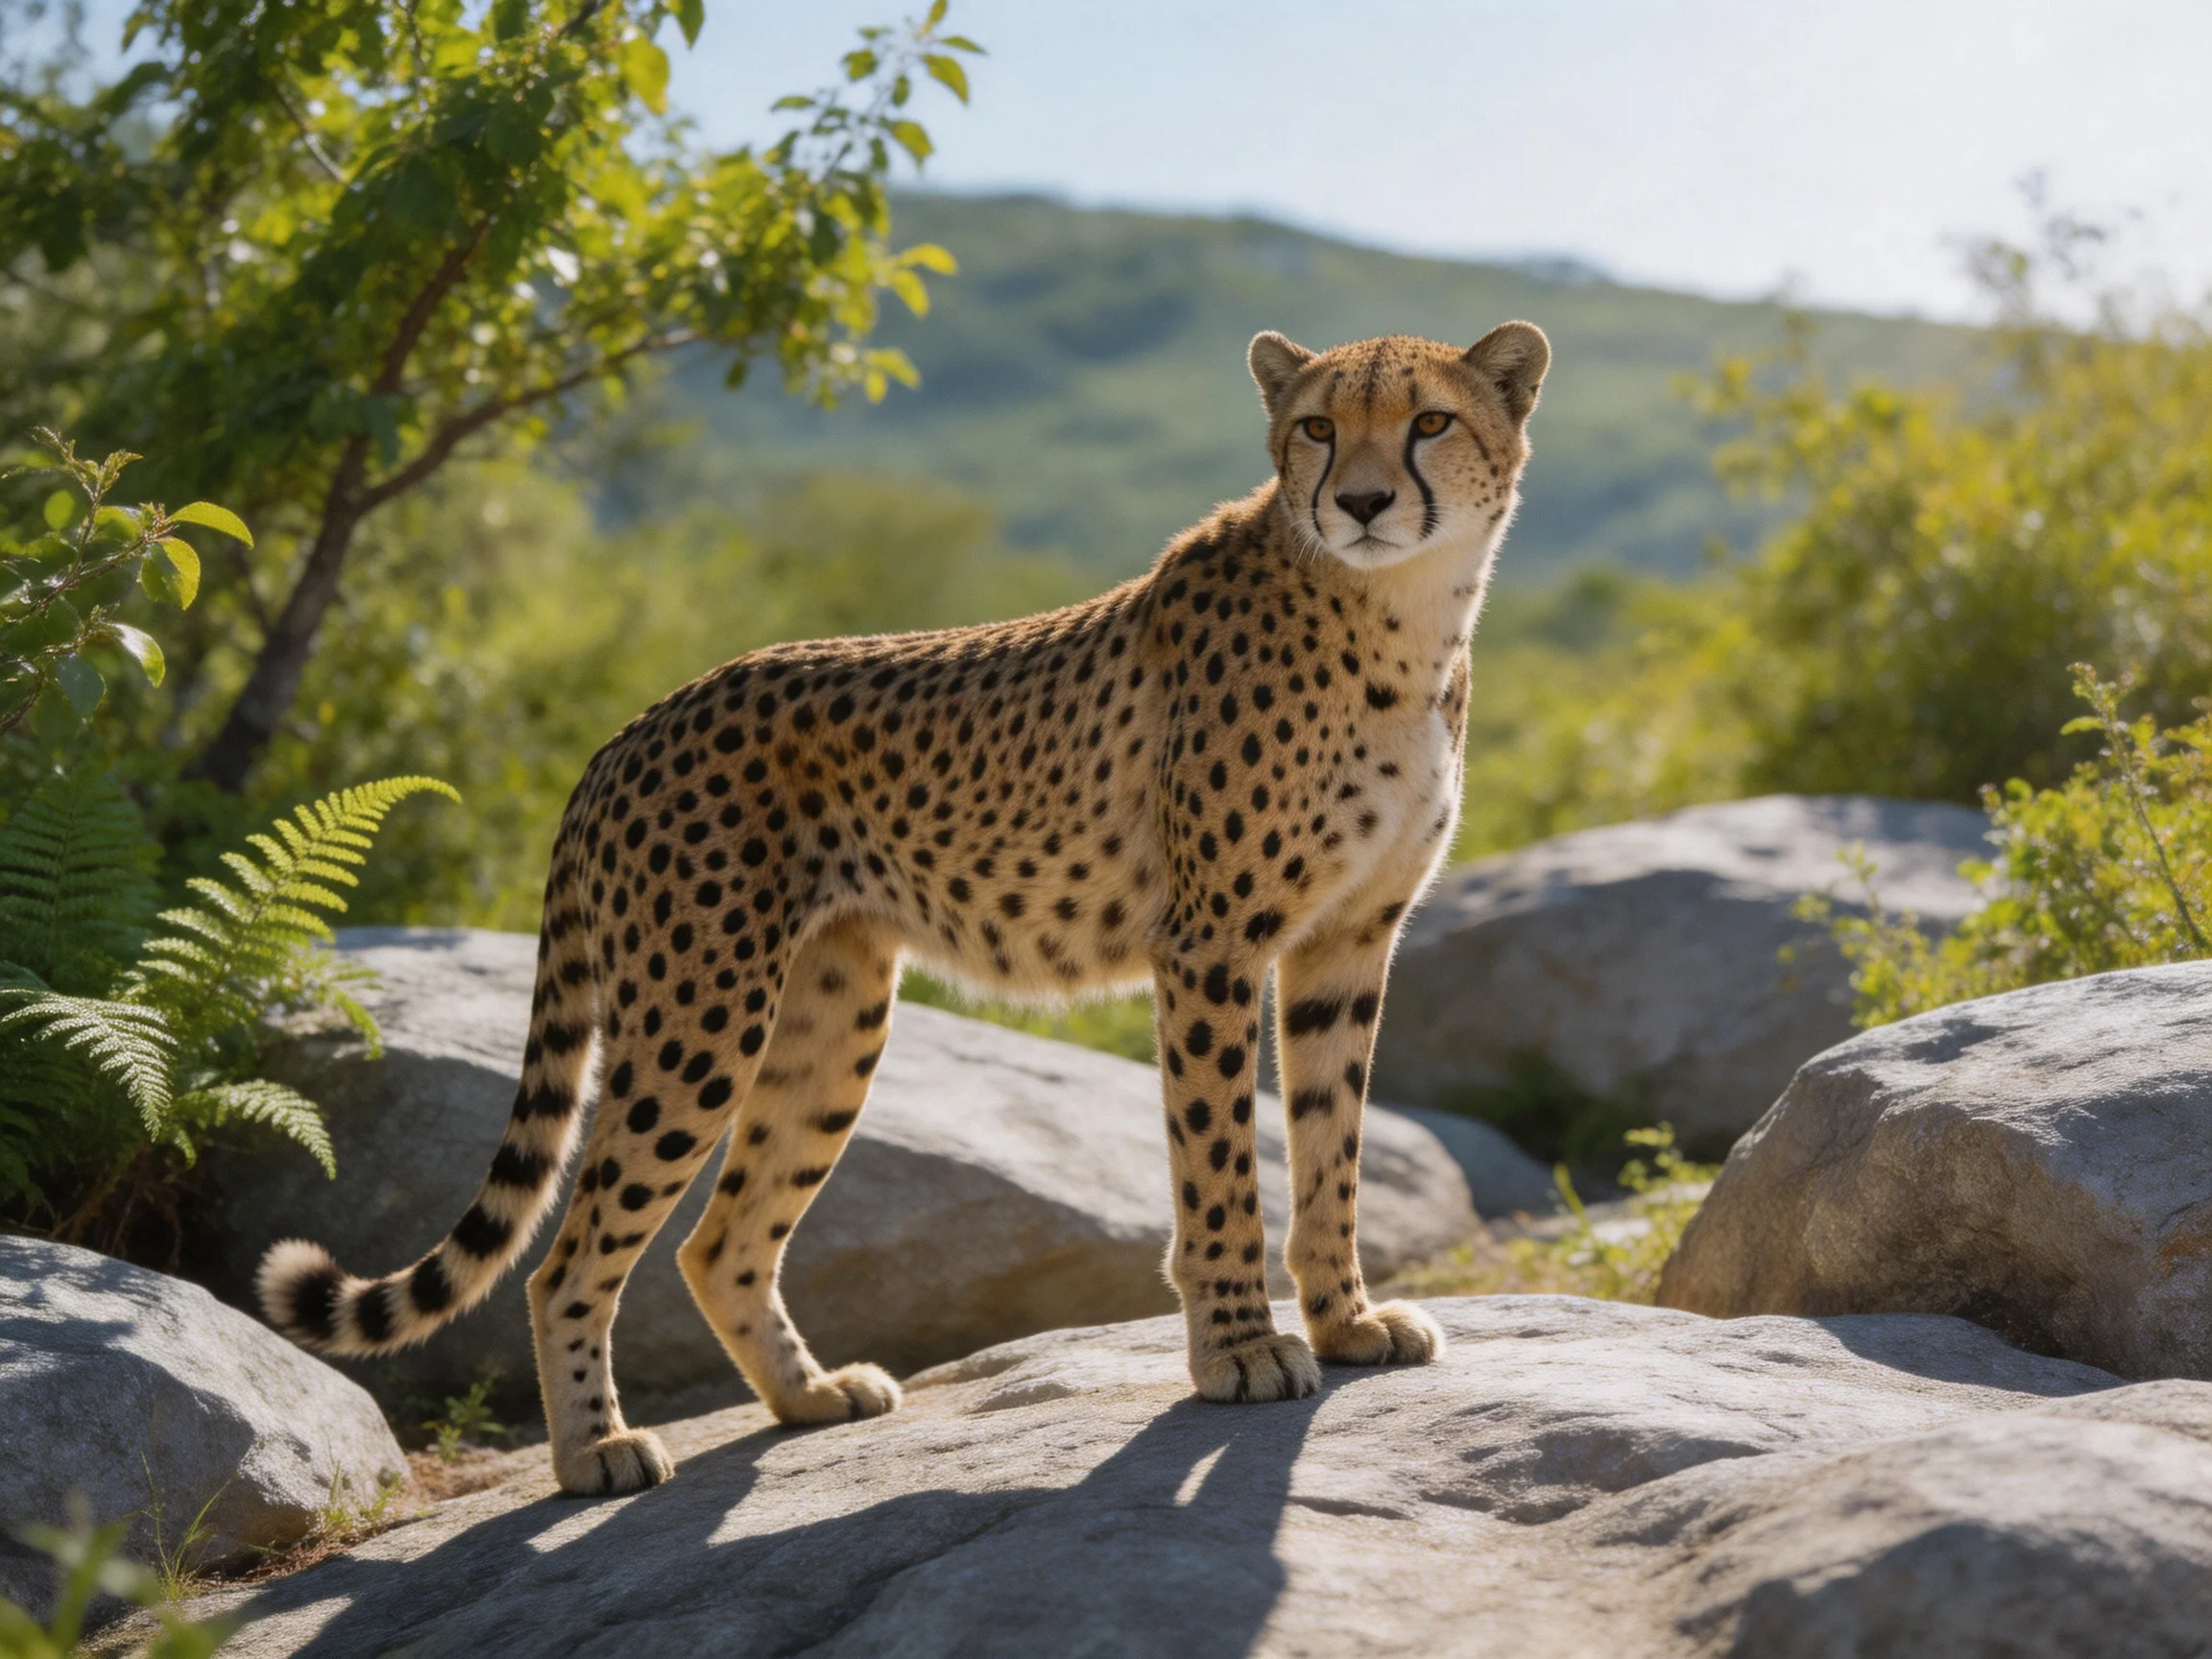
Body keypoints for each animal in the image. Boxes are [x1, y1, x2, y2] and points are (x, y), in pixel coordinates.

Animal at [257, 319, 1550, 1496]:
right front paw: (1239, 1350)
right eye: (1319, 429)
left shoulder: (1346, 942)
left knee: (721, 1239)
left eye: (1431, 422)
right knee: (565, 1256)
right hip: (697, 1021)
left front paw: (1346, 1322)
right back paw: (595, 1454)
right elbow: (1218, 1161)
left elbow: (1331, 1144)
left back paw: (809, 1396)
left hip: (828, 1015)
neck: (1402, 613)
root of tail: (627, 732)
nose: (1365, 501)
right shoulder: (1212, 945)